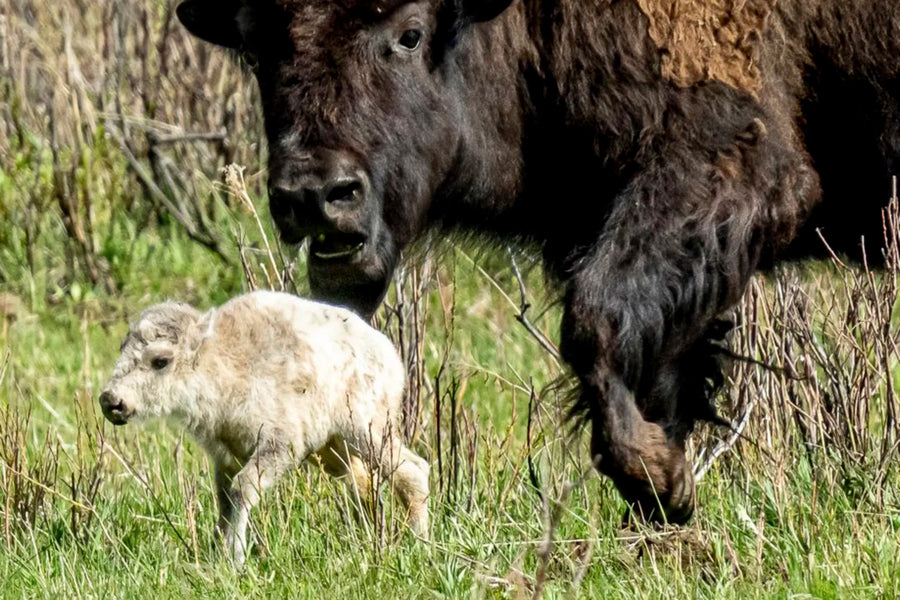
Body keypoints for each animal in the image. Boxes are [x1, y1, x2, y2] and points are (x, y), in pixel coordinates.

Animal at [100, 292, 430, 564]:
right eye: (122, 348)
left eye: (160, 361)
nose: (111, 401)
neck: (223, 361)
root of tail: (388, 352)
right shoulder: (226, 456)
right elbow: (224, 500)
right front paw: (216, 552)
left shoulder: (279, 445)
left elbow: (242, 489)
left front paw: (235, 557)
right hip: (334, 450)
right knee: (364, 484)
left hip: (367, 430)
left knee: (412, 470)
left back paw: (418, 542)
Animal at [174, 0, 900, 524]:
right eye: (257, 48)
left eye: (409, 33)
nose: (315, 194)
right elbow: (654, 365)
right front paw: (666, 498)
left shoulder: (731, 161)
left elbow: (595, 322)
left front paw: (657, 481)